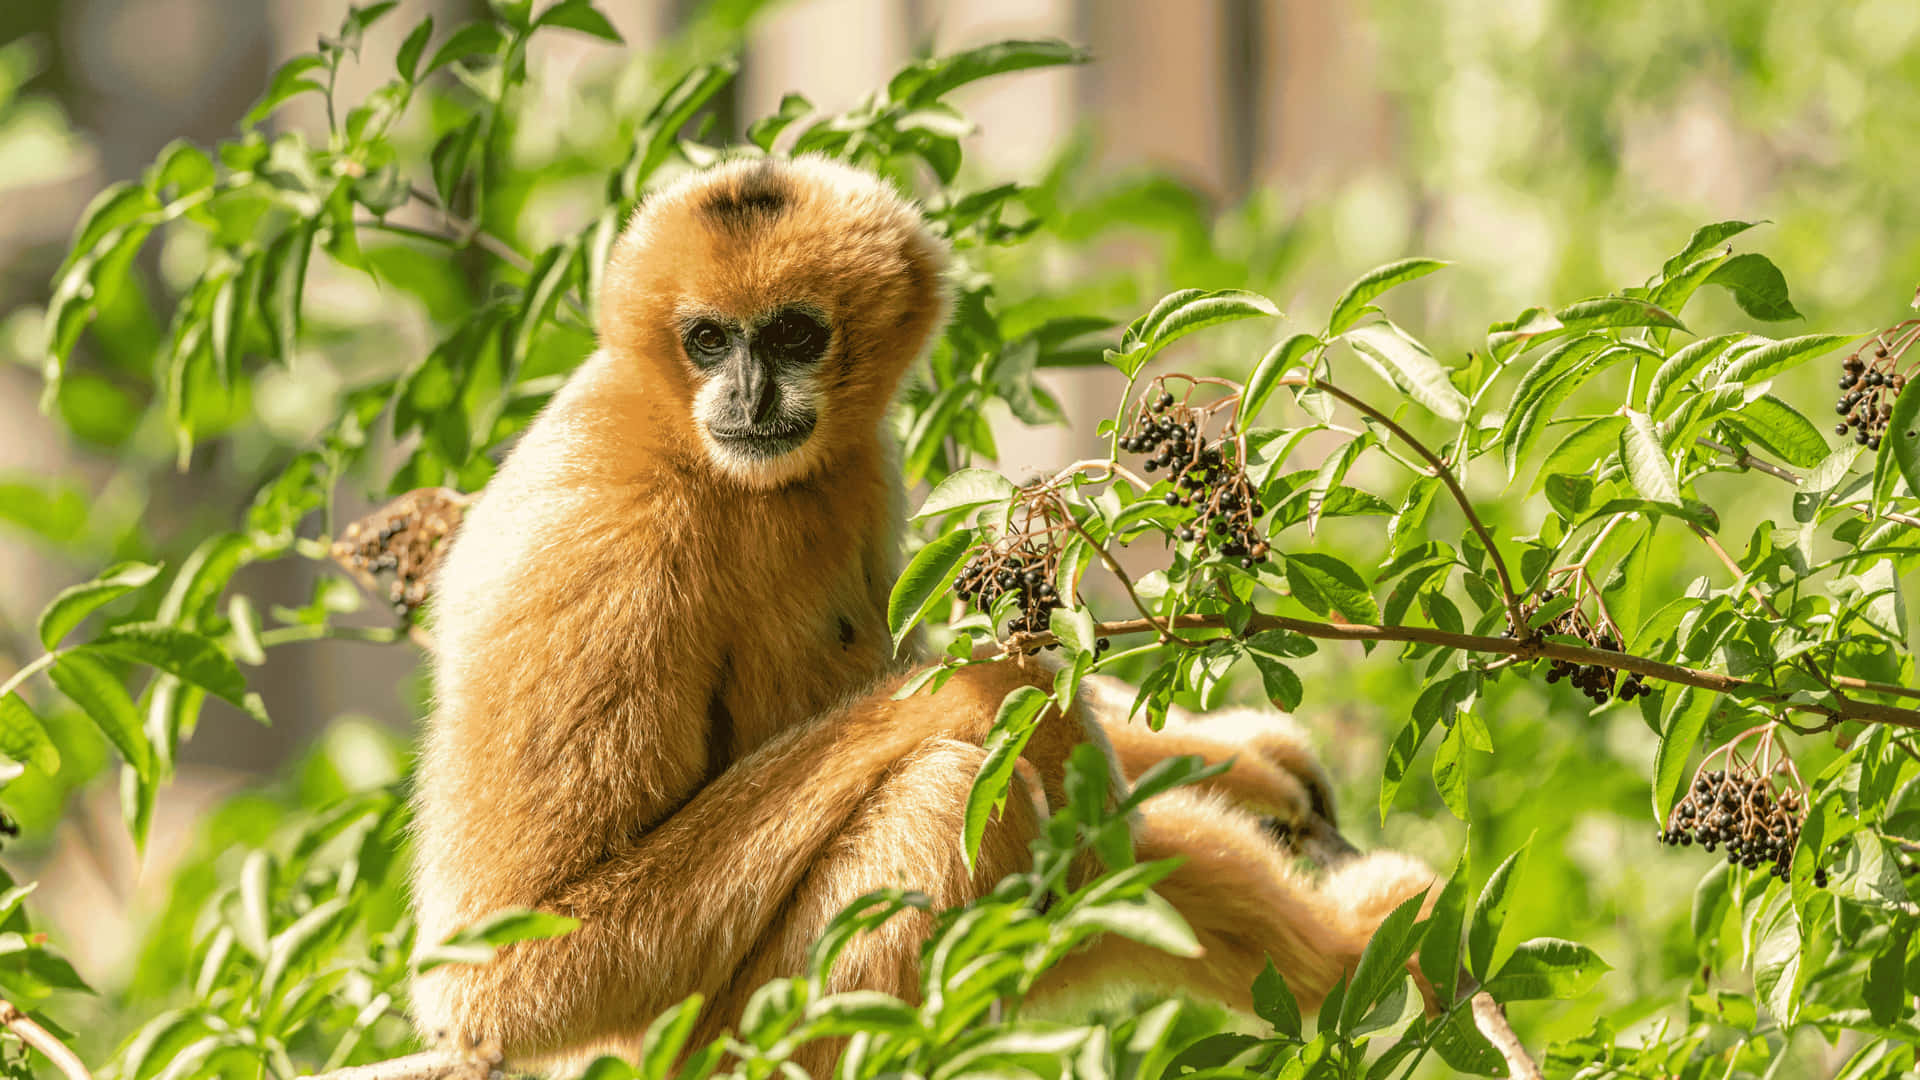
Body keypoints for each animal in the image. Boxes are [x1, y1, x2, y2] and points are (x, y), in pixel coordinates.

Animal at [407, 154, 1435, 1075]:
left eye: (793, 335)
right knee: (954, 788)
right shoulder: (600, 539)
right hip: (728, 1039)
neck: (698, 452)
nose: (746, 392)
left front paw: (1248, 757)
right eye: (707, 341)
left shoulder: (860, 467)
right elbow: (502, 970)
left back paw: (1350, 954)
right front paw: (996, 688)